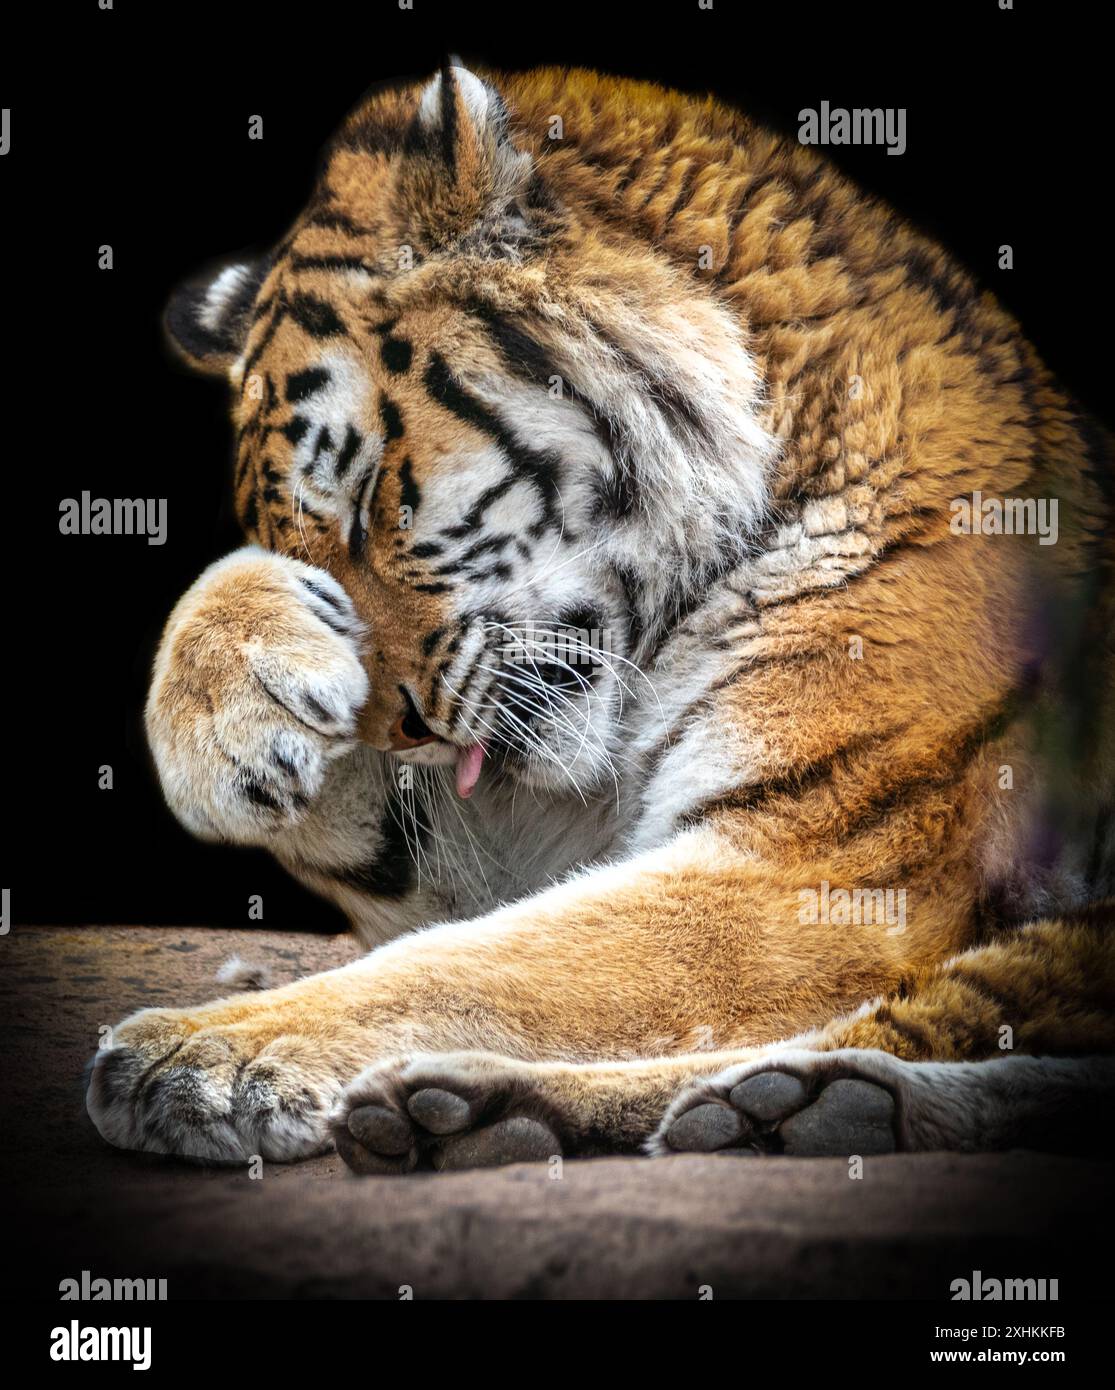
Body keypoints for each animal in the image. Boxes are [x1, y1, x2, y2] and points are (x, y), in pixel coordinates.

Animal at [85, 64, 1115, 1171]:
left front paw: (202, 1053)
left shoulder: (819, 859)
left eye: (364, 499)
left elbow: (467, 967)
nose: (398, 731)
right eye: (302, 545)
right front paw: (239, 724)